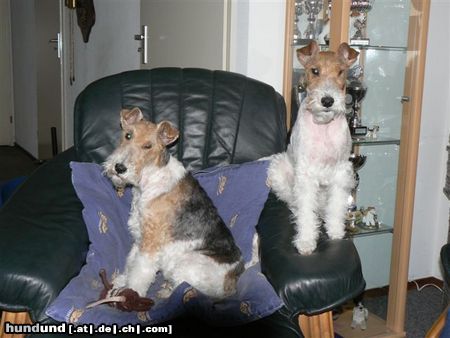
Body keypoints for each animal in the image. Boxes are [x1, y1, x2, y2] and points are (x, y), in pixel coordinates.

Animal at [100, 108, 244, 308]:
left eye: (148, 146)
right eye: (128, 135)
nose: (119, 168)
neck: (152, 176)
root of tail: (233, 281)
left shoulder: (151, 243)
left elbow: (140, 273)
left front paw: (131, 293)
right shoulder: (140, 236)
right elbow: (131, 264)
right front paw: (122, 282)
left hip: (186, 264)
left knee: (188, 290)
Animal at [268, 41, 360, 255]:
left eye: (341, 71)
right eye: (314, 71)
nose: (327, 101)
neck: (323, 125)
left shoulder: (341, 172)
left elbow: (336, 206)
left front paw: (335, 231)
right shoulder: (306, 175)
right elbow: (306, 211)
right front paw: (306, 242)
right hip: (279, 171)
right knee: (296, 204)